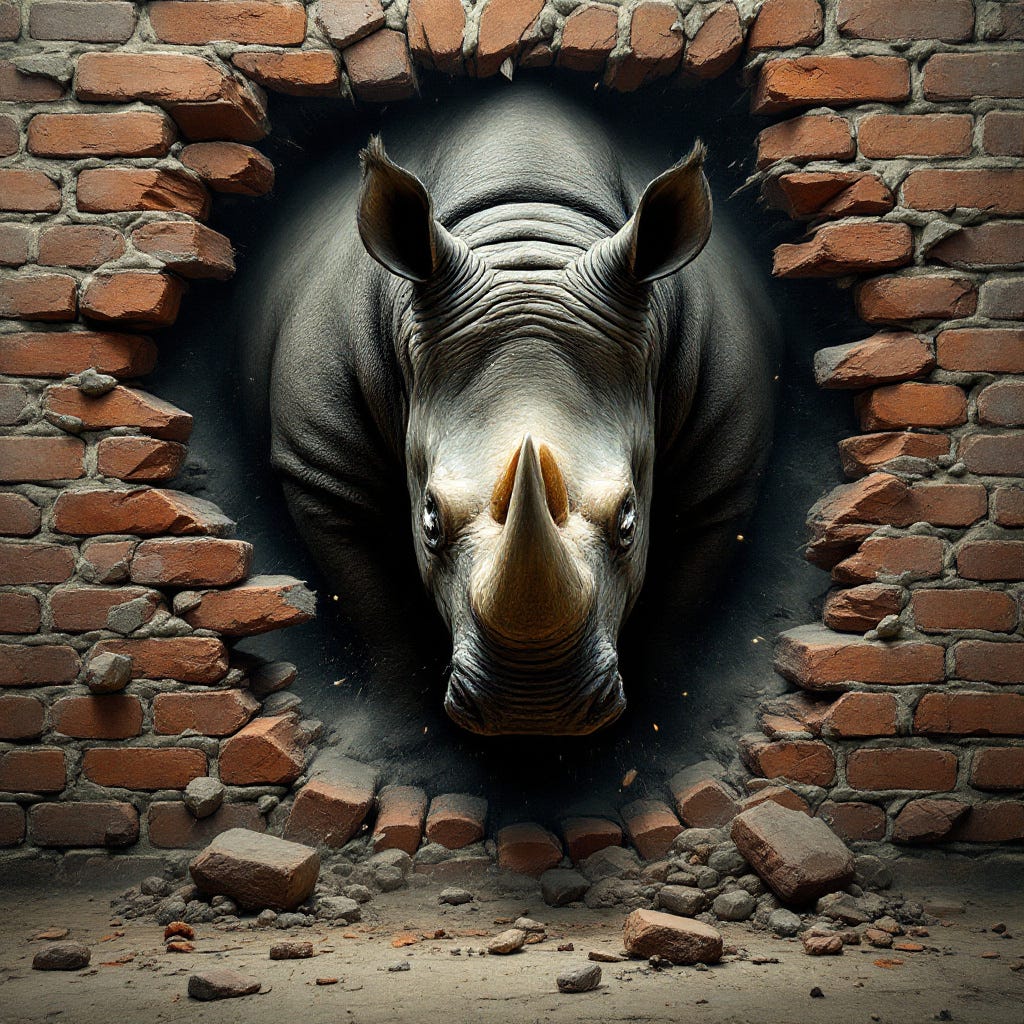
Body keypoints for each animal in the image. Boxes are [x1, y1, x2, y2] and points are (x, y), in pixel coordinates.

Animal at [242, 84, 776, 738]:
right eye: (428, 519)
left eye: (629, 519)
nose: (534, 713)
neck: (529, 238)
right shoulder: (319, 466)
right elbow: (373, 612)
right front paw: (399, 736)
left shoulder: (725, 475)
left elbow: (682, 613)